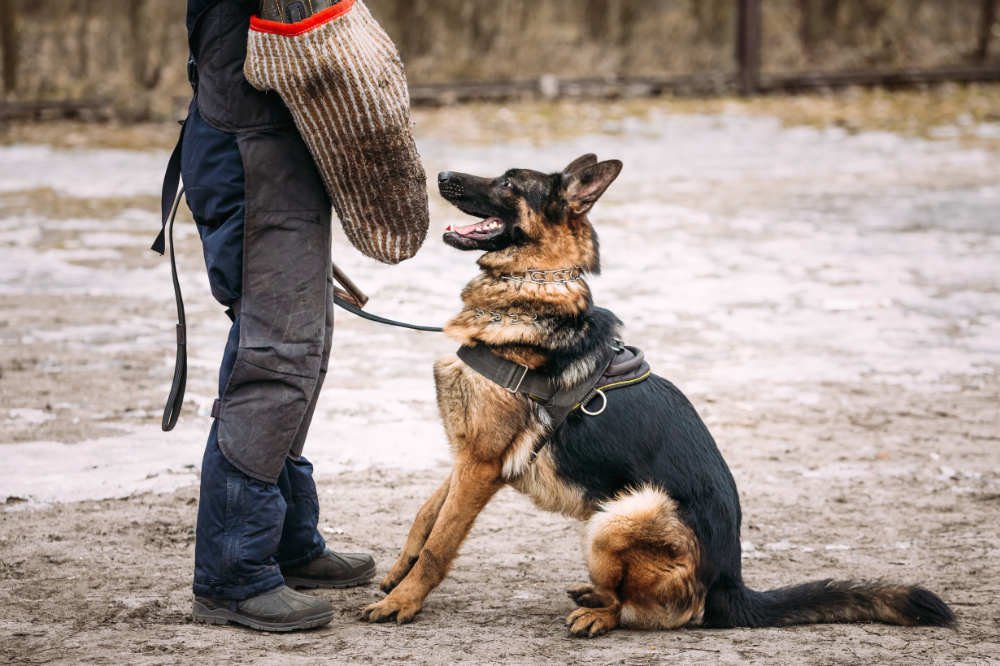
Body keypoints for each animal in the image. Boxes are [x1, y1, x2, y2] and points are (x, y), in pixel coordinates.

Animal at [364, 154, 956, 632]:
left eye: (509, 182)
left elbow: (441, 543)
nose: (441, 174)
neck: (531, 288)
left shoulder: (483, 464)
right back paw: (589, 593)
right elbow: (426, 517)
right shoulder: (470, 455)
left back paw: (598, 613)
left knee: (650, 611)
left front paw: (404, 602)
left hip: (619, 516)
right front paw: (396, 576)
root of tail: (730, 585)